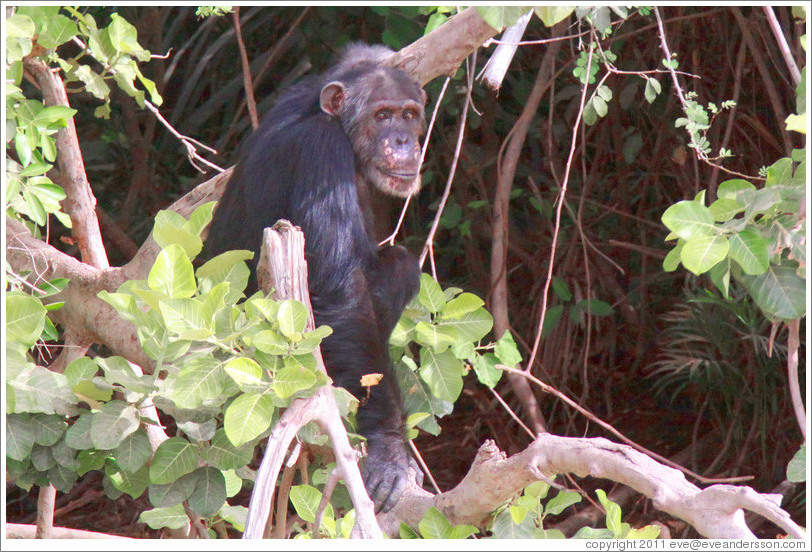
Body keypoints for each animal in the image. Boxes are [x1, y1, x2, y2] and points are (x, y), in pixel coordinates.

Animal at [203, 45, 428, 516]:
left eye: (409, 114)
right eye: (382, 115)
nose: (403, 139)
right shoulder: (321, 153)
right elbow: (343, 291)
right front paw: (389, 448)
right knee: (397, 267)